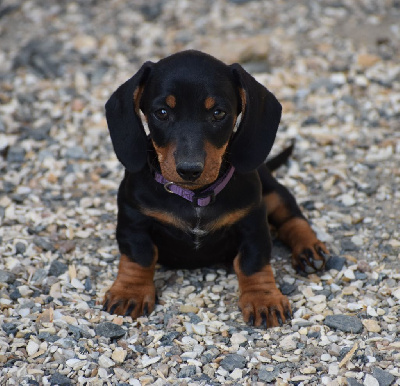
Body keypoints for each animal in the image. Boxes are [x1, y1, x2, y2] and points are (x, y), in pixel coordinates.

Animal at [102, 49, 328, 328]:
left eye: (219, 113)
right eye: (162, 112)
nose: (189, 169)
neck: (196, 197)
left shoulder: (253, 222)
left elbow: (253, 262)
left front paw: (263, 299)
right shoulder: (133, 219)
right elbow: (139, 256)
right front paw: (129, 292)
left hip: (272, 192)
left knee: (291, 219)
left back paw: (309, 250)